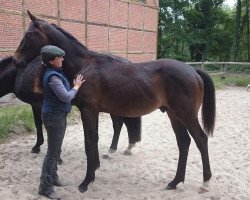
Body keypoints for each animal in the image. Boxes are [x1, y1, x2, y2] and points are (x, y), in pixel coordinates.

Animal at [0, 55, 141, 155]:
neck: (19, 73)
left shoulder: (36, 104)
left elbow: (39, 124)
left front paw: (37, 146)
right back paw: (128, 147)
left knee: (118, 124)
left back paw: (112, 148)